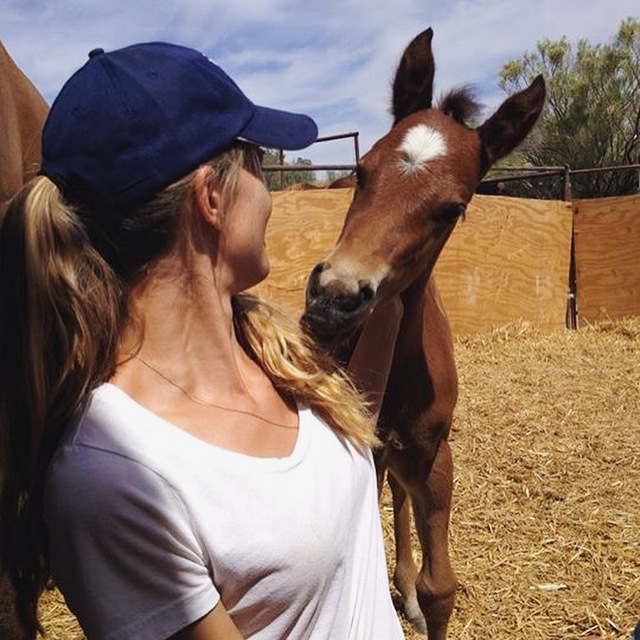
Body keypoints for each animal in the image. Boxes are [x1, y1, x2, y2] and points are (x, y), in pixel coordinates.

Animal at [301, 28, 545, 639]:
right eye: (362, 171)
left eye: (452, 208)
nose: (335, 297)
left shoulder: (435, 456)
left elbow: (442, 589)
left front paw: (418, 592)